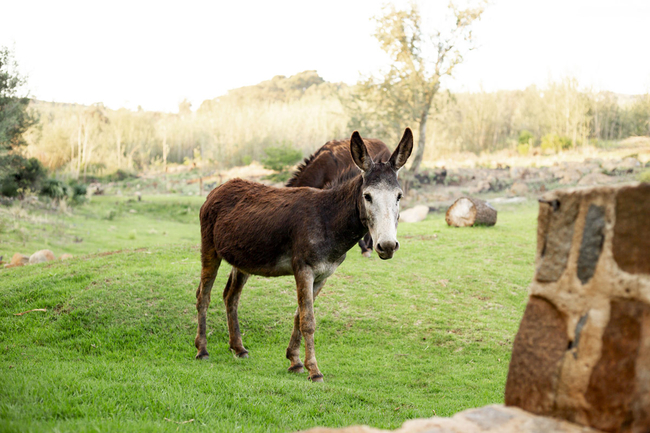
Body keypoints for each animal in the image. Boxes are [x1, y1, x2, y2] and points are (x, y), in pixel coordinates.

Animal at [195, 128, 413, 382]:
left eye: (399, 196)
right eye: (367, 196)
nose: (387, 246)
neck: (328, 218)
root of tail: (219, 187)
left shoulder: (322, 275)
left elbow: (298, 316)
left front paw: (295, 361)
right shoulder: (303, 270)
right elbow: (308, 320)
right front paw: (314, 370)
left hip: (243, 260)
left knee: (231, 296)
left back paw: (238, 348)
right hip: (210, 249)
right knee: (203, 295)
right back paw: (202, 350)